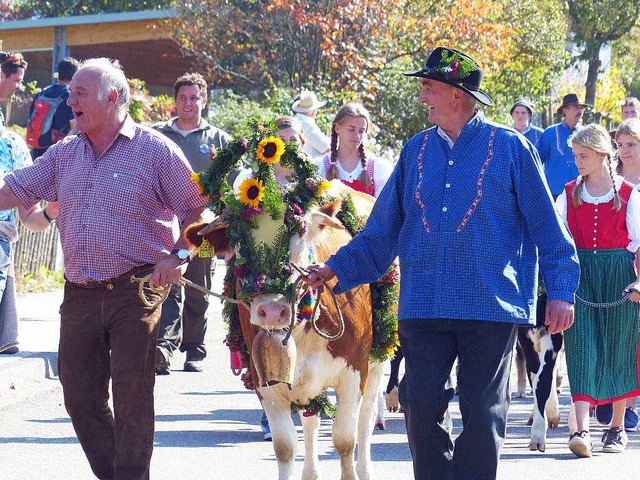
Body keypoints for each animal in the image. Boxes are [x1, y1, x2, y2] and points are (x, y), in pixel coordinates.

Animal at [182, 122, 398, 478]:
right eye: (238, 245)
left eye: (300, 237)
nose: (272, 311)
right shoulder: (267, 383)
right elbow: (285, 447)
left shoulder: (353, 373)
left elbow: (344, 441)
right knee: (311, 418)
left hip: (378, 357)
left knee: (366, 421)